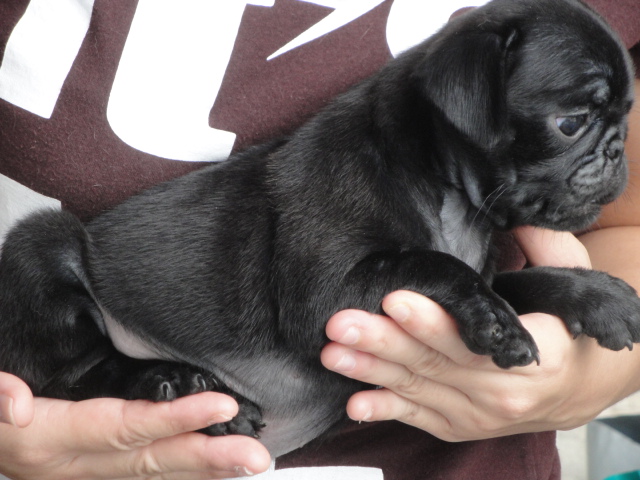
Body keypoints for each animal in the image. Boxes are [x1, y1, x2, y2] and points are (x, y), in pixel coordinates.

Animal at [0, 0, 638, 457]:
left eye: (625, 116)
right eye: (571, 122)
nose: (617, 150)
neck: (451, 197)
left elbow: (513, 280)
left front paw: (597, 297)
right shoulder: (325, 296)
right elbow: (434, 264)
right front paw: (495, 324)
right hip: (43, 248)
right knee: (72, 374)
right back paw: (184, 383)